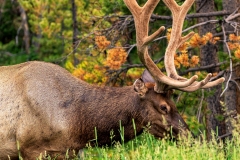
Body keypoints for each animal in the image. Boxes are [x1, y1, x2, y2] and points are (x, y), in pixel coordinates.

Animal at [0, 0, 225, 159]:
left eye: (174, 104)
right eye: (163, 107)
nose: (191, 138)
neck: (77, 124)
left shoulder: (68, 152)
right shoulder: (30, 148)